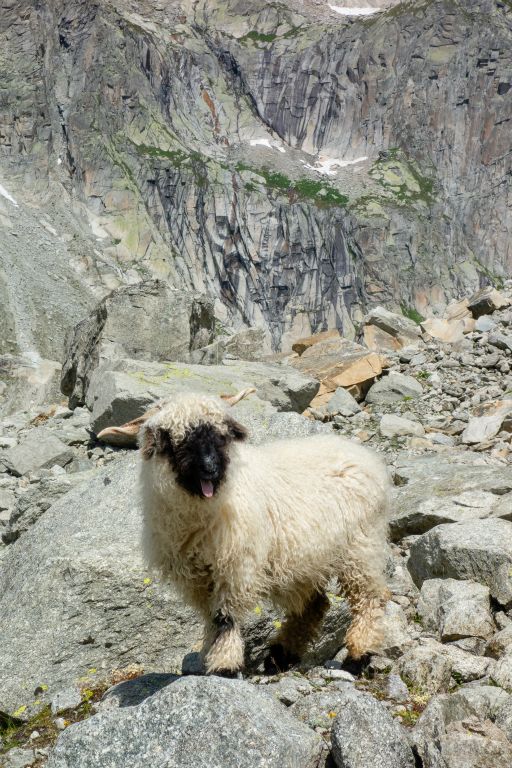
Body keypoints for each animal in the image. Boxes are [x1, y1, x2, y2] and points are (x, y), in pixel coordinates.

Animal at [101, 390, 388, 672]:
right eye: (174, 440)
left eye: (221, 436)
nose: (210, 468)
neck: (201, 514)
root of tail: (362, 455)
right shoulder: (197, 578)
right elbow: (210, 618)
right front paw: (208, 656)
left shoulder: (236, 566)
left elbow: (224, 617)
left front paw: (224, 664)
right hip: (299, 561)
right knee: (314, 605)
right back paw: (281, 656)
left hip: (359, 545)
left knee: (370, 596)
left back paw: (359, 653)